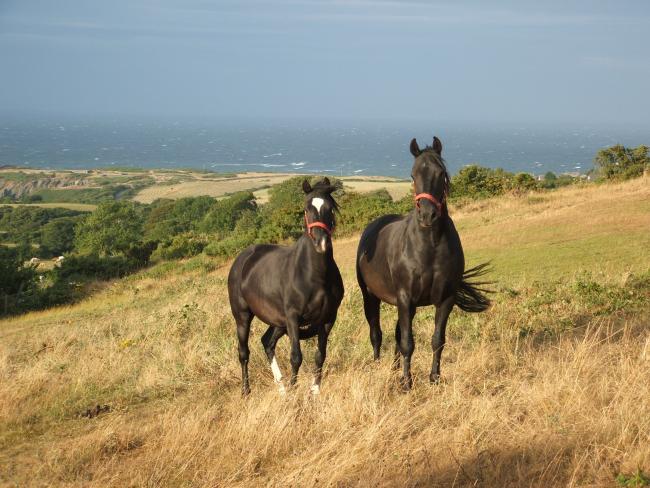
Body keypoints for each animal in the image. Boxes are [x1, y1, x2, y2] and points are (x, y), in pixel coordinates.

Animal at [227, 177, 342, 394]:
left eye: (330, 208)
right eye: (306, 208)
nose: (321, 242)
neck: (315, 275)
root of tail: (242, 258)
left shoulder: (328, 319)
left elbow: (320, 355)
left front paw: (314, 391)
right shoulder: (293, 318)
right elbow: (296, 357)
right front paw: (295, 390)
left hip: (278, 322)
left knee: (267, 343)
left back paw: (281, 388)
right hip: (243, 317)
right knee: (243, 353)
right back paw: (246, 391)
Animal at [356, 136, 488, 388]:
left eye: (441, 173)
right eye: (413, 174)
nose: (428, 215)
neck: (430, 247)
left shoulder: (444, 299)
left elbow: (437, 340)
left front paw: (434, 377)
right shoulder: (405, 298)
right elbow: (408, 342)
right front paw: (407, 383)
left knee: (397, 335)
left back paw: (394, 369)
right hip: (371, 296)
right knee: (376, 333)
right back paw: (379, 367)